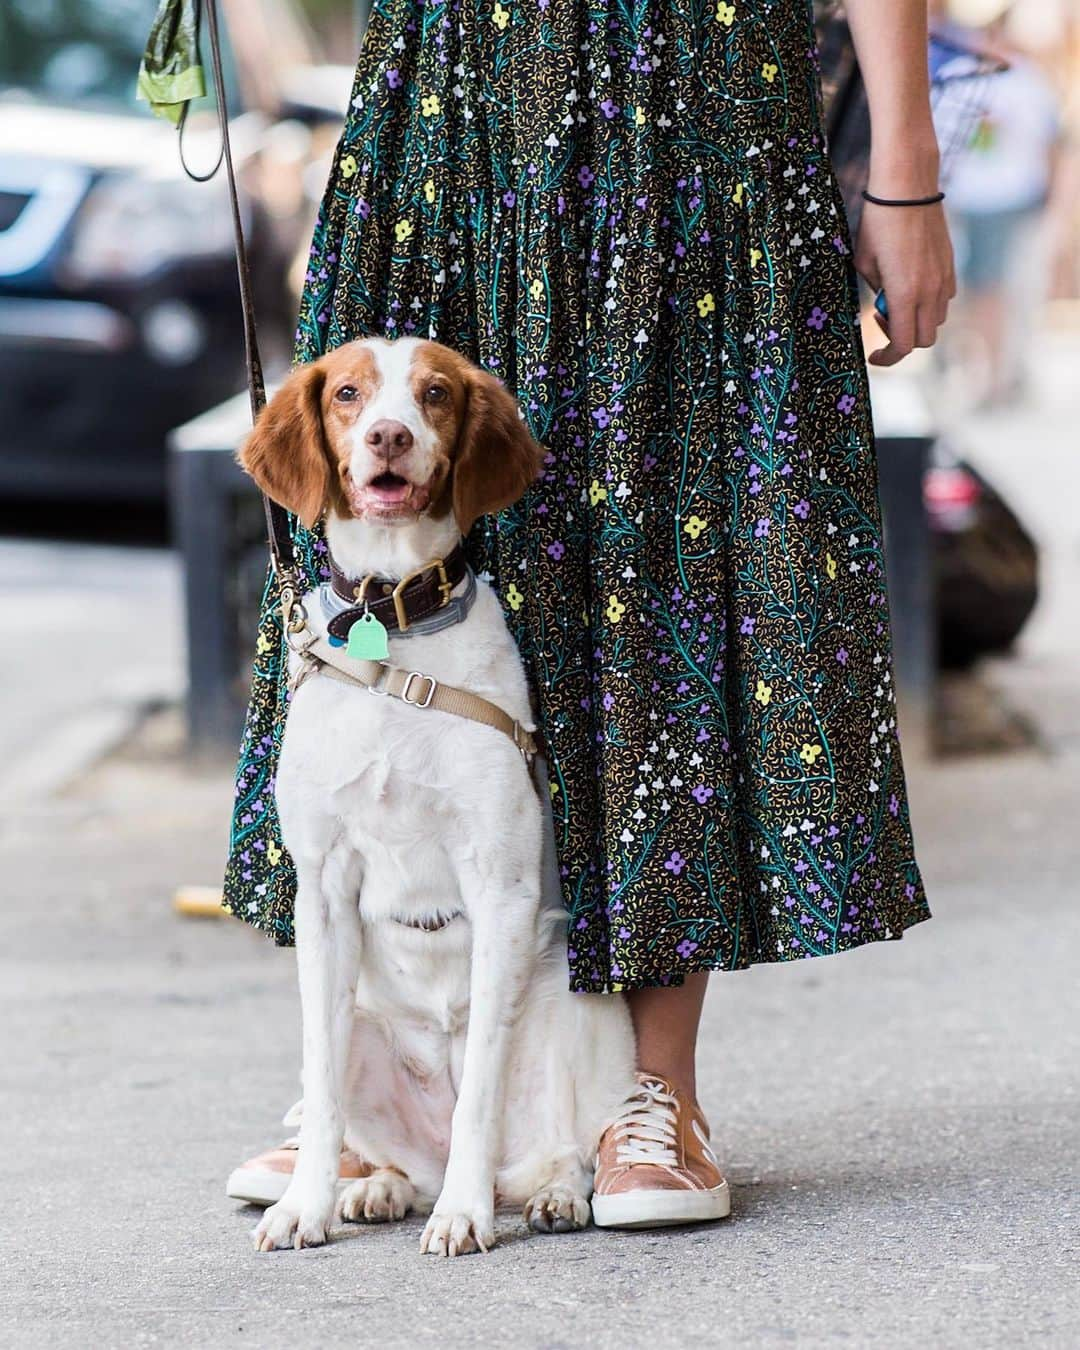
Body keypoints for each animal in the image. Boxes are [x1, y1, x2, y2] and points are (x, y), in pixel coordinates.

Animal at [240, 337, 637, 1252]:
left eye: (435, 394)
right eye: (348, 394)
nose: (389, 436)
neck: (394, 627)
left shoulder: (499, 883)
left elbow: (480, 1098)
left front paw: (465, 1215)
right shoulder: (322, 889)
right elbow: (323, 1099)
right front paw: (304, 1206)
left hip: (587, 1006)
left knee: (559, 1150)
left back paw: (544, 1196)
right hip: (359, 1025)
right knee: (373, 1135)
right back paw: (378, 1188)